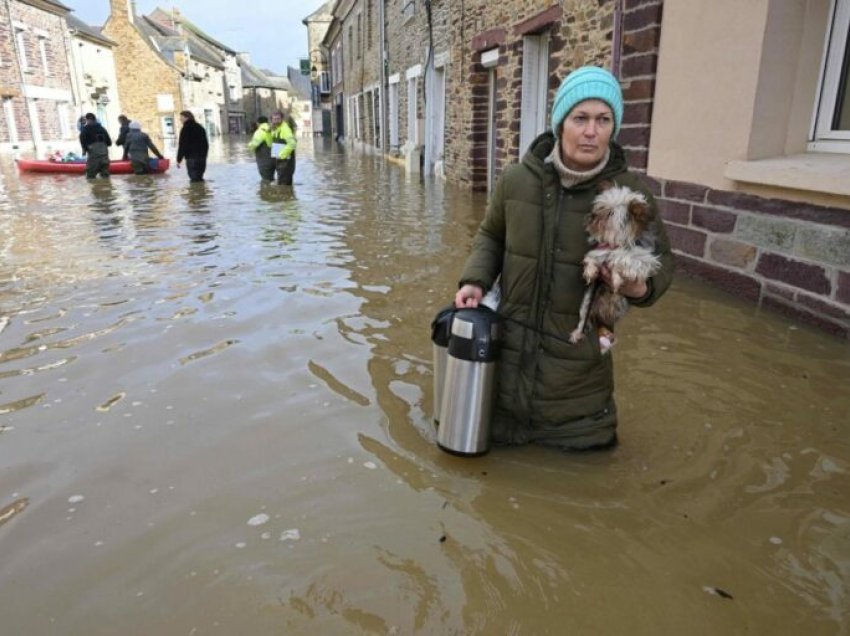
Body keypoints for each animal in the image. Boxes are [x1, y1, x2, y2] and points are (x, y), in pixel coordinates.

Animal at [568, 183, 664, 352]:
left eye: (610, 213)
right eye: (600, 207)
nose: (592, 216)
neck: (617, 242)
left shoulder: (645, 260)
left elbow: (621, 258)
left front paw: (616, 277)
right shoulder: (599, 250)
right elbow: (593, 256)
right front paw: (590, 271)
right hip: (587, 302)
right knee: (583, 320)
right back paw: (577, 334)